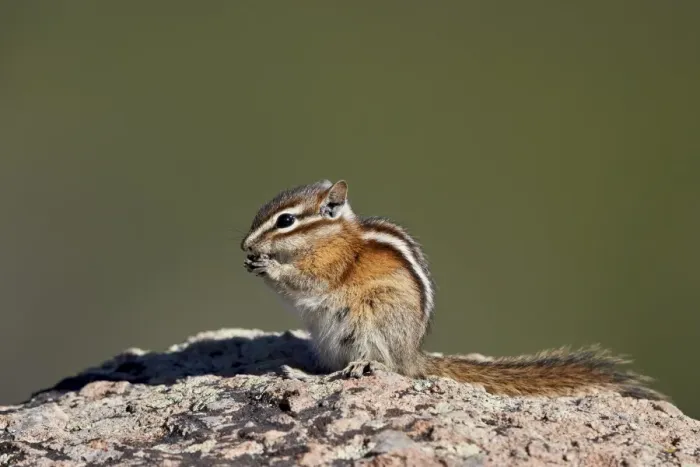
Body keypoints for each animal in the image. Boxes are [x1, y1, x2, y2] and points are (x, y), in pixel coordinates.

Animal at [240, 179, 665, 400]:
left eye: (286, 221)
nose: (245, 246)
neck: (330, 236)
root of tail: (414, 355)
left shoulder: (331, 266)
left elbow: (306, 282)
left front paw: (270, 266)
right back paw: (301, 373)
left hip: (371, 320)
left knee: (385, 367)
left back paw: (354, 367)